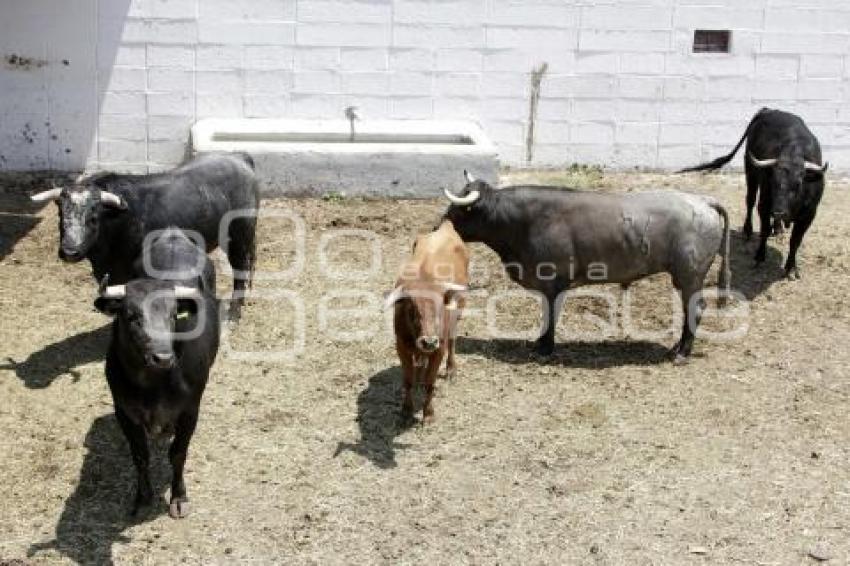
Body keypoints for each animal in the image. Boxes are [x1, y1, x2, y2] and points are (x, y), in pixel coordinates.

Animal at [31, 153, 260, 318]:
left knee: (240, 269)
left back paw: (234, 312)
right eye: (60, 214)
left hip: (240, 235)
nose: (70, 251)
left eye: (93, 217)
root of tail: (239, 158)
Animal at [386, 220, 470, 424]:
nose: (429, 341)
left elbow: (430, 382)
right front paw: (406, 409)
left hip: (457, 316)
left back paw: (450, 370)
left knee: (452, 341)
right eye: (412, 310)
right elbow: (408, 380)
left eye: (440, 307)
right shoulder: (402, 347)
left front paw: (428, 413)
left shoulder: (438, 350)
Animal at [440, 171, 724, 364]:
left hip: (690, 275)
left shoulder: (552, 282)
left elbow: (550, 314)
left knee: (695, 308)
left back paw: (682, 352)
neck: (524, 221)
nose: (438, 225)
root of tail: (702, 200)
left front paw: (545, 348)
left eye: (460, 210)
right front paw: (540, 342)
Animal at [680, 107, 824, 280]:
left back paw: (778, 229)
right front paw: (759, 258)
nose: (779, 211)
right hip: (750, 172)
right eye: (773, 181)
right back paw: (748, 231)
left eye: (798, 184)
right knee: (749, 201)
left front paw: (791, 267)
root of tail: (768, 110)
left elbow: (795, 241)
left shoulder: (809, 215)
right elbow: (764, 230)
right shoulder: (765, 205)